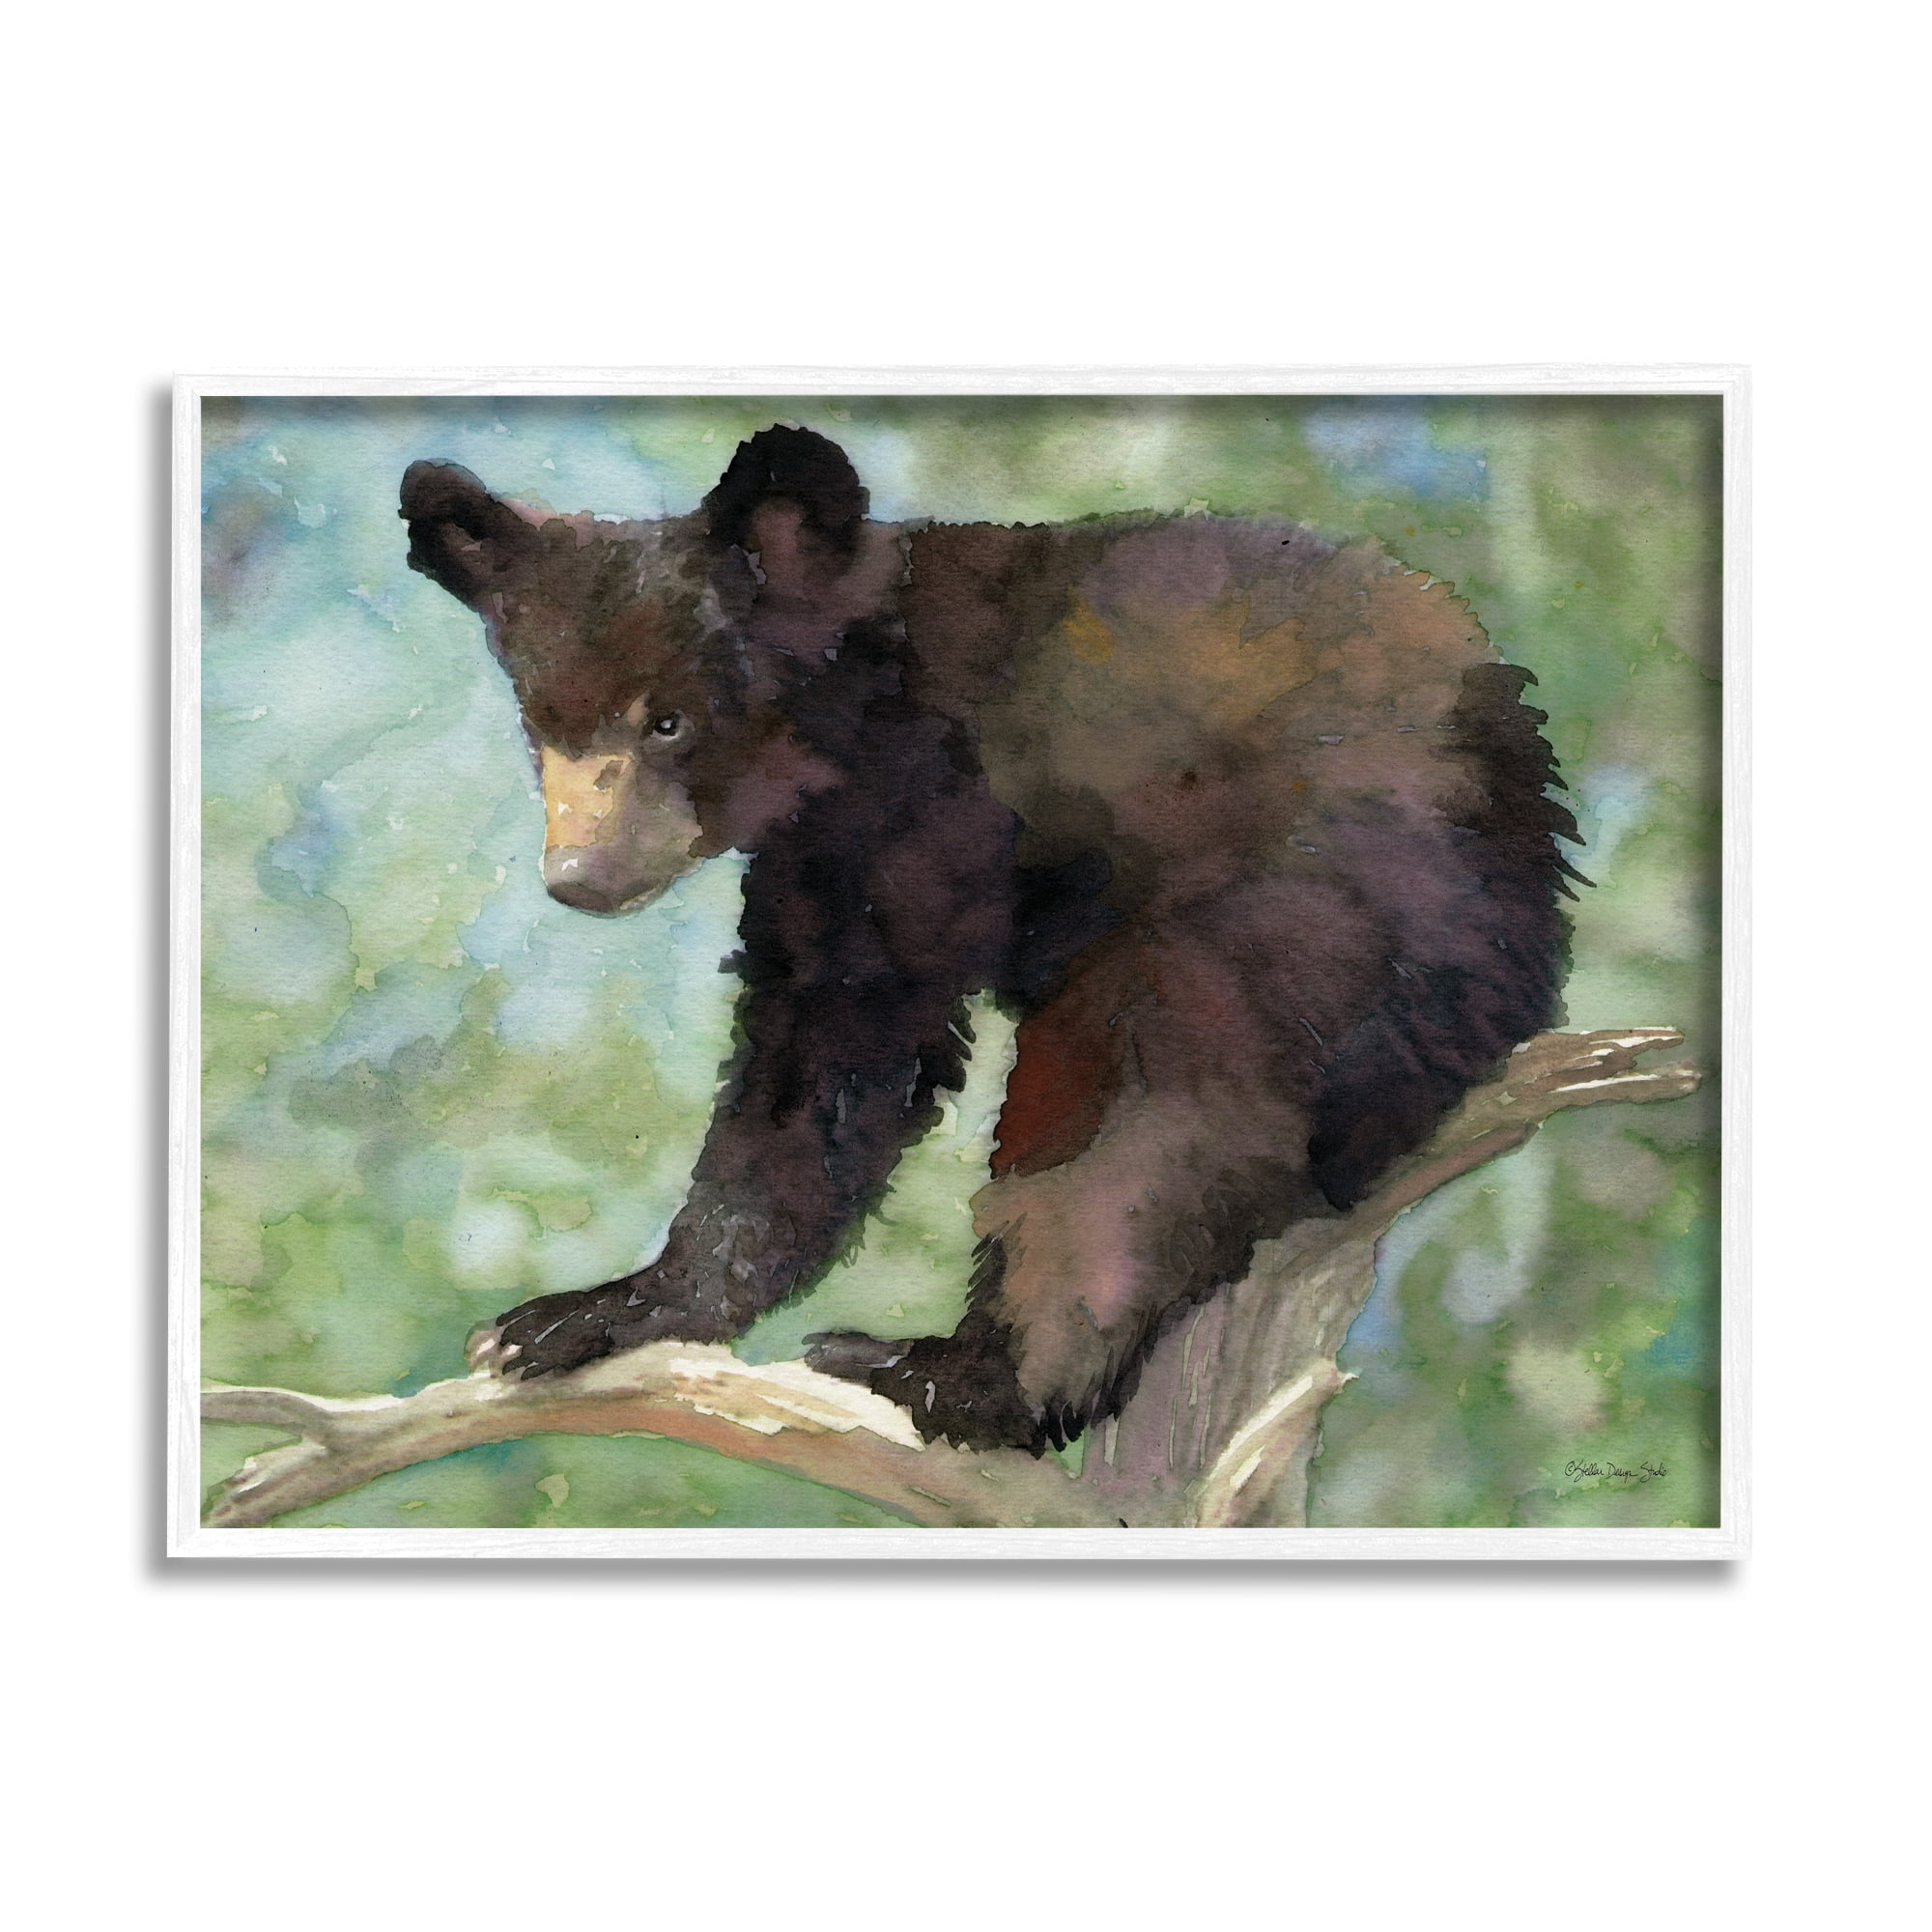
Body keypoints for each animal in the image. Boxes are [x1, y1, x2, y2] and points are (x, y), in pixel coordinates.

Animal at [400, 425, 1582, 1453]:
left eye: (670, 719)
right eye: (545, 725)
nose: (580, 878)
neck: (855, 705)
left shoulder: (938, 806)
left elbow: (859, 1037)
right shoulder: (818, 854)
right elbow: (811, 1062)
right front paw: (600, 1309)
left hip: (1304, 903)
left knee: (1145, 1115)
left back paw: (955, 1375)